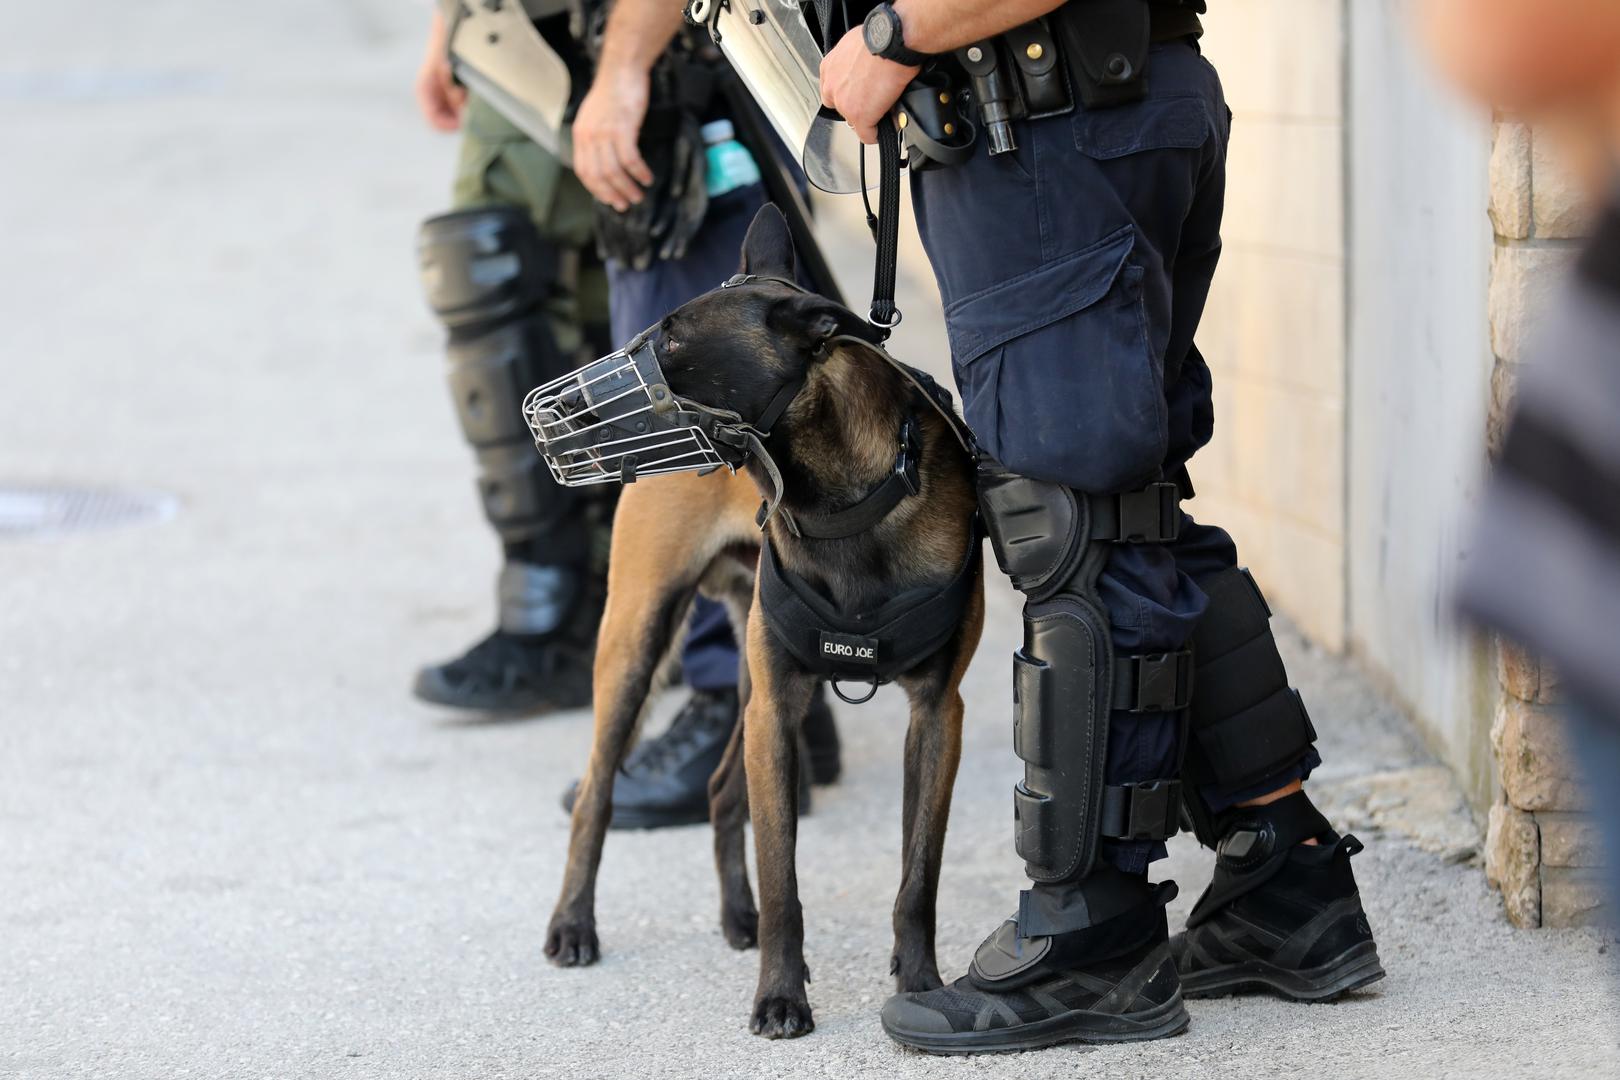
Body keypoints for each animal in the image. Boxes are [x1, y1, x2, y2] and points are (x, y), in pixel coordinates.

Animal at [537, 202, 978, 1036]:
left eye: (673, 341)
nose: (565, 408)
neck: (843, 506)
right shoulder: (777, 709)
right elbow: (784, 878)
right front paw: (781, 996)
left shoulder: (937, 715)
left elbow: (920, 874)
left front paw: (921, 983)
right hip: (639, 642)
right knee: (596, 793)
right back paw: (573, 925)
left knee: (716, 791)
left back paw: (734, 918)